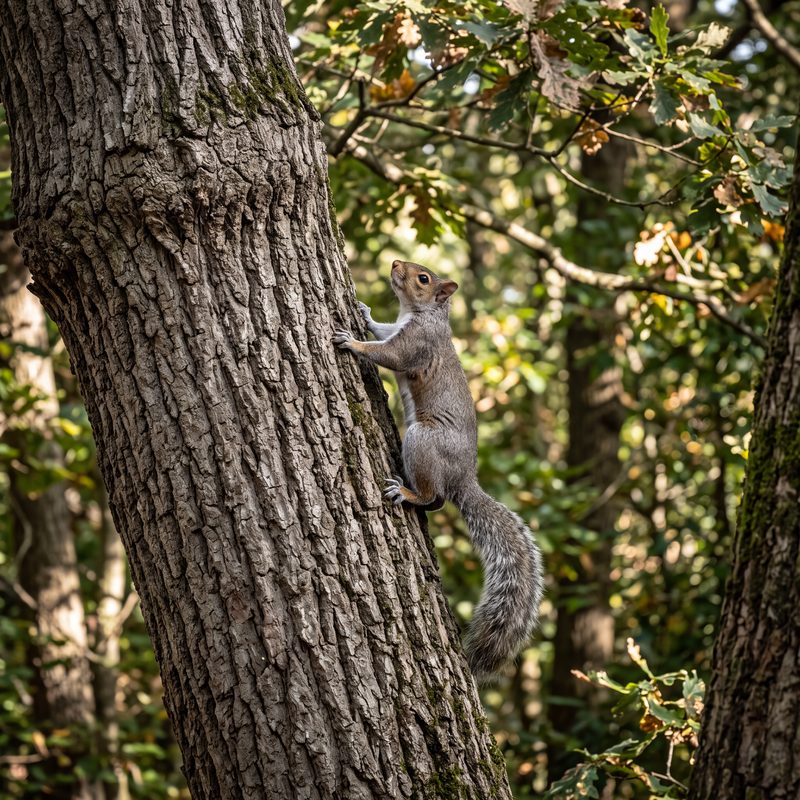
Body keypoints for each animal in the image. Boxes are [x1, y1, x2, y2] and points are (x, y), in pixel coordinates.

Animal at [333, 259, 544, 680]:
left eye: (424, 278)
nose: (395, 263)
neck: (419, 313)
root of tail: (463, 478)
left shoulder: (417, 343)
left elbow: (390, 355)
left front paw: (352, 342)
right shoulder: (399, 328)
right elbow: (383, 330)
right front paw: (365, 313)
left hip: (422, 441)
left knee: (435, 497)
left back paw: (407, 492)